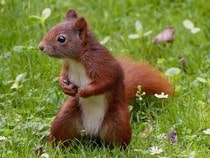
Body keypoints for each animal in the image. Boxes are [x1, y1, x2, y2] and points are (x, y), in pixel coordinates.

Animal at [38, 8, 173, 149]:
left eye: (61, 39)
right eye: (51, 28)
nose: (41, 46)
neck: (77, 60)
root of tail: (91, 132)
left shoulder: (102, 64)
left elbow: (106, 81)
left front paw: (84, 91)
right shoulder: (67, 65)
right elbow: (63, 74)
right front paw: (64, 86)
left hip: (118, 121)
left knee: (119, 141)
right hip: (65, 118)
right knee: (60, 136)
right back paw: (52, 149)